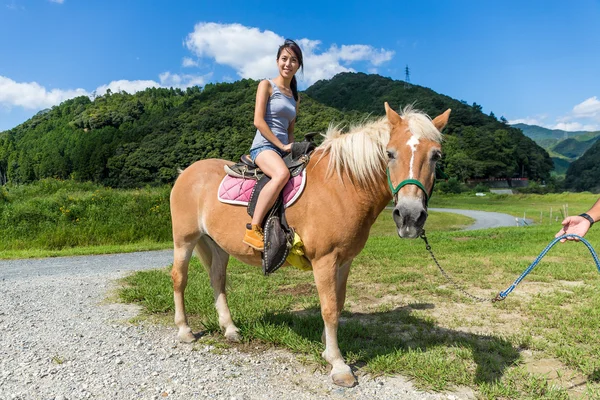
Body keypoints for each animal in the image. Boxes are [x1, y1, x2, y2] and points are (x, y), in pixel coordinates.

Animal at [169, 103, 450, 388]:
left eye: (436, 156)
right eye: (390, 153)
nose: (409, 217)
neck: (342, 185)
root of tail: (186, 173)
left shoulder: (345, 260)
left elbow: (338, 303)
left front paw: (327, 349)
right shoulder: (324, 259)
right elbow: (329, 309)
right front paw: (338, 365)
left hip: (217, 245)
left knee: (217, 279)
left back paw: (230, 328)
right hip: (185, 239)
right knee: (179, 278)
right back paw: (185, 330)